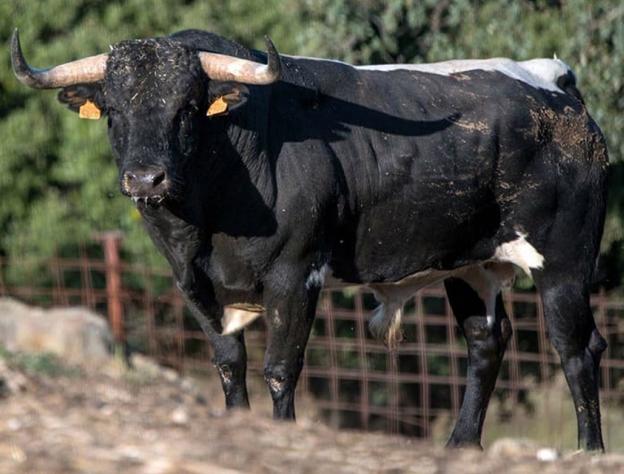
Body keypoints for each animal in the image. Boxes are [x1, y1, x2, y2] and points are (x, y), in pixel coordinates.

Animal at [12, 27, 608, 450]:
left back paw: (589, 450)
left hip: (565, 260)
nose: (144, 179)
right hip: (468, 264)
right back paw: (461, 447)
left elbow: (281, 370)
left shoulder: (296, 276)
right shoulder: (193, 284)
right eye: (113, 113)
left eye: (186, 109)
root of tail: (556, 84)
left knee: (577, 349)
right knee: (486, 341)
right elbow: (229, 366)